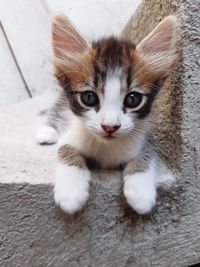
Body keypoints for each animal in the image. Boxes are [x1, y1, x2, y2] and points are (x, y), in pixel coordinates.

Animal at [36, 15, 177, 216]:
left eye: (133, 99)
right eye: (89, 97)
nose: (110, 126)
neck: (106, 149)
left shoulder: (146, 139)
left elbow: (147, 156)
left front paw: (140, 193)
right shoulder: (70, 135)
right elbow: (65, 149)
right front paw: (71, 191)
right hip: (61, 102)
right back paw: (46, 133)